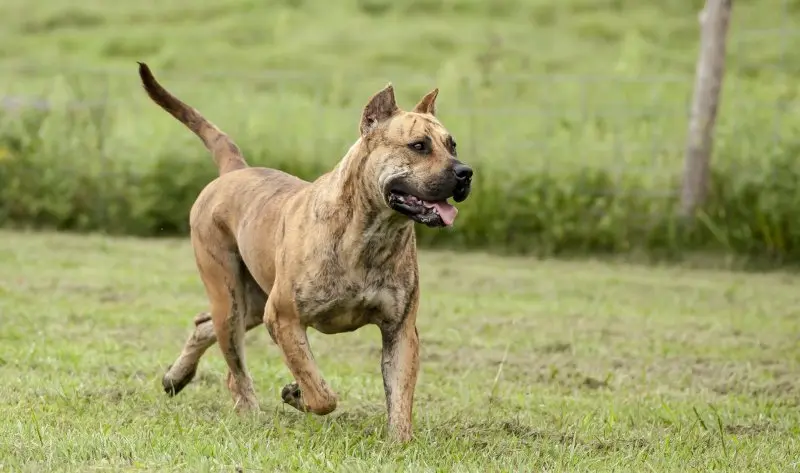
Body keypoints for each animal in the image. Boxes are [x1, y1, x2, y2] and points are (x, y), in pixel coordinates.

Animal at [137, 60, 472, 440]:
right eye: (418, 146)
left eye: (453, 145)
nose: (465, 173)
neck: (372, 233)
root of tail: (235, 170)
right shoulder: (284, 318)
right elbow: (321, 392)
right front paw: (295, 393)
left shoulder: (400, 331)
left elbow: (400, 396)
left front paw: (399, 442)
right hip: (230, 296)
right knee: (235, 364)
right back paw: (248, 411)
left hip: (251, 303)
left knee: (204, 326)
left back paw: (176, 377)